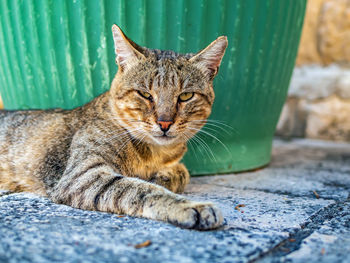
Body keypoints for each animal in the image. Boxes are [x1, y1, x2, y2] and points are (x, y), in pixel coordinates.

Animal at [0, 25, 228, 231]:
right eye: (145, 94)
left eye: (186, 96)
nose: (165, 122)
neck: (156, 154)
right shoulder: (82, 176)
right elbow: (142, 189)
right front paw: (191, 206)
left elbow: (182, 172)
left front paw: (163, 176)